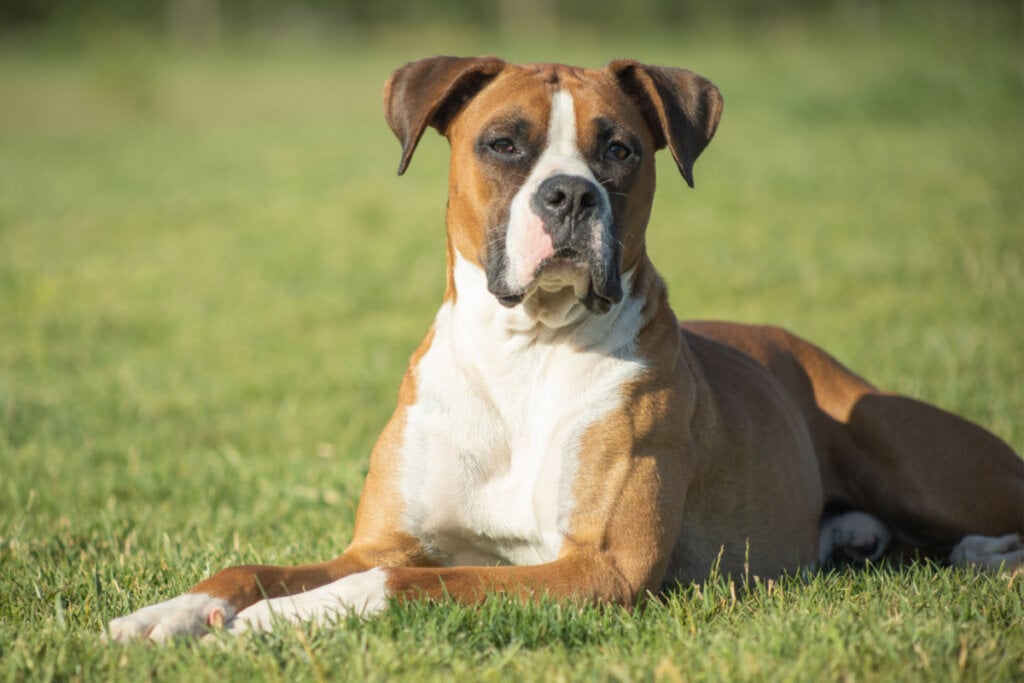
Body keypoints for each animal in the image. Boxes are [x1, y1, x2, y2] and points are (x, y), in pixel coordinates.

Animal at [108, 57, 1019, 643]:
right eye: (503, 143)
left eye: (619, 149)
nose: (569, 194)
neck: (524, 351)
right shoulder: (378, 540)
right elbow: (252, 566)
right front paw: (171, 612)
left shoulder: (596, 568)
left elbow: (410, 582)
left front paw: (276, 620)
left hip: (914, 456)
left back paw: (990, 554)